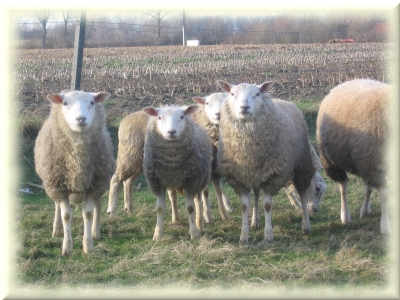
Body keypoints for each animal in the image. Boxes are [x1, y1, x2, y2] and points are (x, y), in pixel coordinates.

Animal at [33, 91, 115, 255]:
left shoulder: (95, 185)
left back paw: (95, 231)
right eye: (65, 103)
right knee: (57, 206)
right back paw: (57, 229)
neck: (78, 161)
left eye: (92, 102)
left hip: (100, 181)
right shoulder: (57, 186)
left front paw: (88, 246)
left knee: (98, 205)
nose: (81, 119)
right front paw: (67, 247)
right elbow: (66, 215)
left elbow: (88, 213)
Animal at [143, 104, 212, 240]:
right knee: (173, 198)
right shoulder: (157, 182)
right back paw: (175, 219)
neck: (172, 162)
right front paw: (158, 234)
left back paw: (199, 222)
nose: (171, 132)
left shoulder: (192, 180)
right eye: (159, 117)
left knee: (198, 199)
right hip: (172, 181)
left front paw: (194, 233)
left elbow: (190, 207)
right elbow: (160, 208)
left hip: (200, 180)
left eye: (182, 117)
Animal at [217, 80, 314, 244]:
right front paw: (244, 236)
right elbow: (245, 206)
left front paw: (268, 236)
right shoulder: (239, 178)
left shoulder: (274, 176)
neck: (248, 149)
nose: (244, 107)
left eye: (257, 94)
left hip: (302, 164)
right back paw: (255, 222)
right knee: (256, 195)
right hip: (257, 174)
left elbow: (268, 206)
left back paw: (306, 225)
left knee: (303, 193)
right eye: (232, 93)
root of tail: (283, 100)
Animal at [316, 78, 390, 234]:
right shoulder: (376, 167)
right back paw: (345, 216)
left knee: (368, 187)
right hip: (334, 161)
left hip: (365, 160)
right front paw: (386, 227)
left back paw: (365, 210)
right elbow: (385, 196)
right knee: (343, 188)